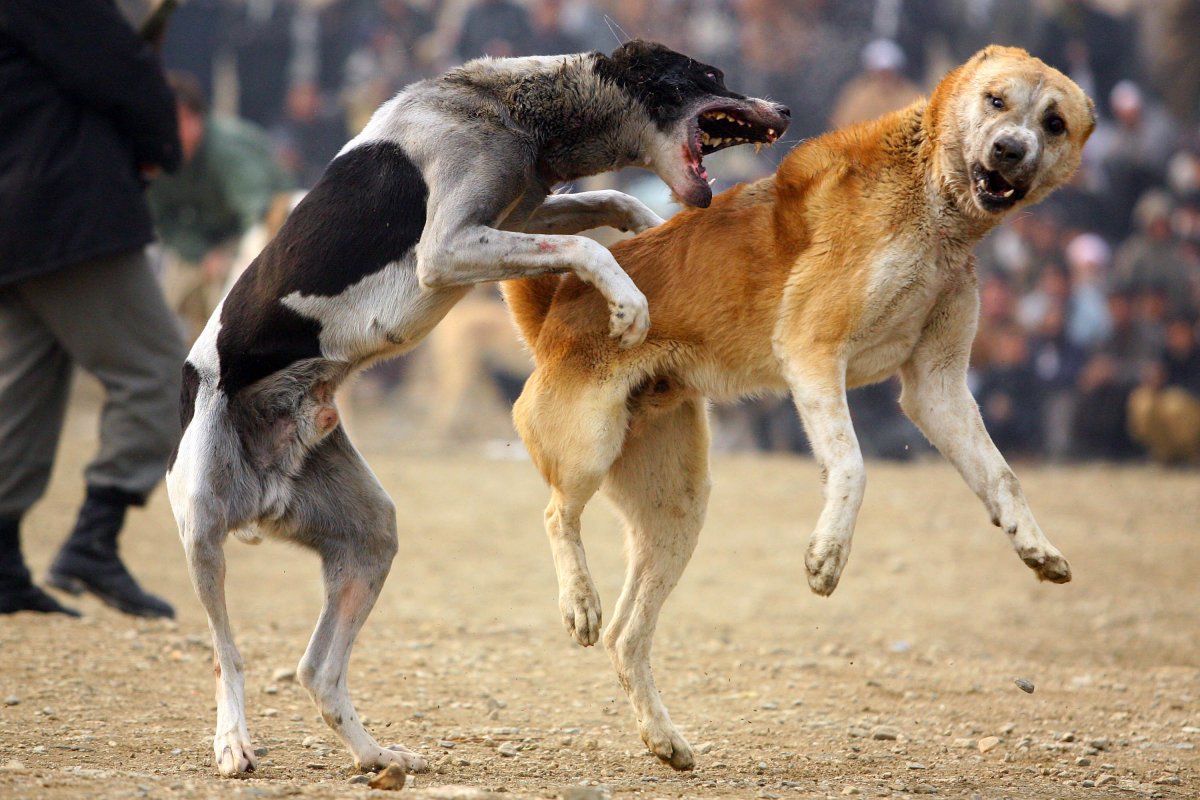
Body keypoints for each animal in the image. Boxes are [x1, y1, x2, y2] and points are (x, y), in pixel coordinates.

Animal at [166, 40, 787, 777]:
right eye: (710, 76)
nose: (784, 109)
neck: (511, 111)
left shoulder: (514, 218)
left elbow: (601, 203)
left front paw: (649, 230)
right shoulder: (451, 246)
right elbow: (587, 244)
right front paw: (629, 301)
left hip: (369, 539)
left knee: (319, 671)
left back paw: (376, 755)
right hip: (204, 530)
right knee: (225, 655)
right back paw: (233, 742)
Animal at [501, 47, 1094, 772]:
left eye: (1054, 121)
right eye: (996, 101)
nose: (1011, 149)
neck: (932, 207)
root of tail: (556, 308)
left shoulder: (937, 386)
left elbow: (1002, 475)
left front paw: (1035, 546)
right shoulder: (813, 351)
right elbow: (853, 466)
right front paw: (826, 557)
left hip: (678, 506)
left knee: (627, 635)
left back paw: (663, 737)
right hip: (589, 446)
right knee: (558, 517)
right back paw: (579, 605)